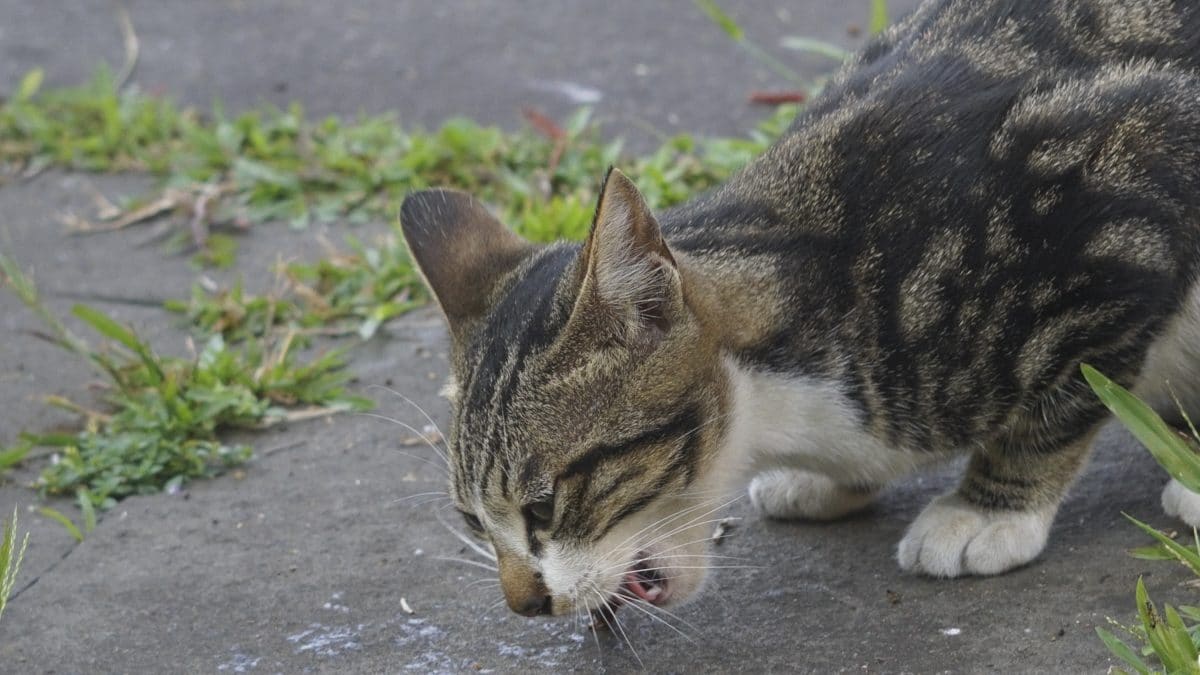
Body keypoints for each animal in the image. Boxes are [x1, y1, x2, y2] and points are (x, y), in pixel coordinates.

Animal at [396, 0, 1200, 619]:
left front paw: (989, 509)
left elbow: (1062, 399)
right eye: (472, 519)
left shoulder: (1122, 197)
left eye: (544, 505)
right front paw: (833, 480)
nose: (524, 605)